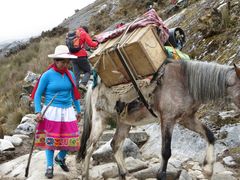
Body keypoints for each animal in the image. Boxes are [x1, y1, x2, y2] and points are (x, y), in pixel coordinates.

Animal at [76, 58, 240, 179]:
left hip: (124, 122)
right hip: (100, 121)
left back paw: (124, 174)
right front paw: (161, 175)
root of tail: (93, 86)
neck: (185, 83)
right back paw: (85, 174)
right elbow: (166, 151)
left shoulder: (187, 119)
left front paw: (207, 169)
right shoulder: (167, 120)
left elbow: (210, 135)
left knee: (115, 144)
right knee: (90, 146)